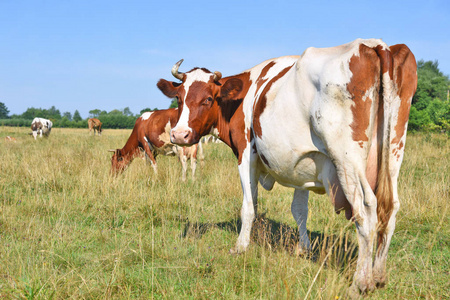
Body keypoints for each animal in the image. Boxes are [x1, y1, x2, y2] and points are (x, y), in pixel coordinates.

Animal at [158, 38, 418, 296]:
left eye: (208, 99)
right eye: (179, 98)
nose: (179, 135)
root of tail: (373, 44)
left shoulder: (246, 154)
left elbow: (249, 206)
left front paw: (240, 247)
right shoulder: (303, 164)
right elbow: (299, 210)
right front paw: (304, 248)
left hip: (347, 160)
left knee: (365, 210)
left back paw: (361, 283)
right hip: (393, 153)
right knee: (391, 208)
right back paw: (379, 276)